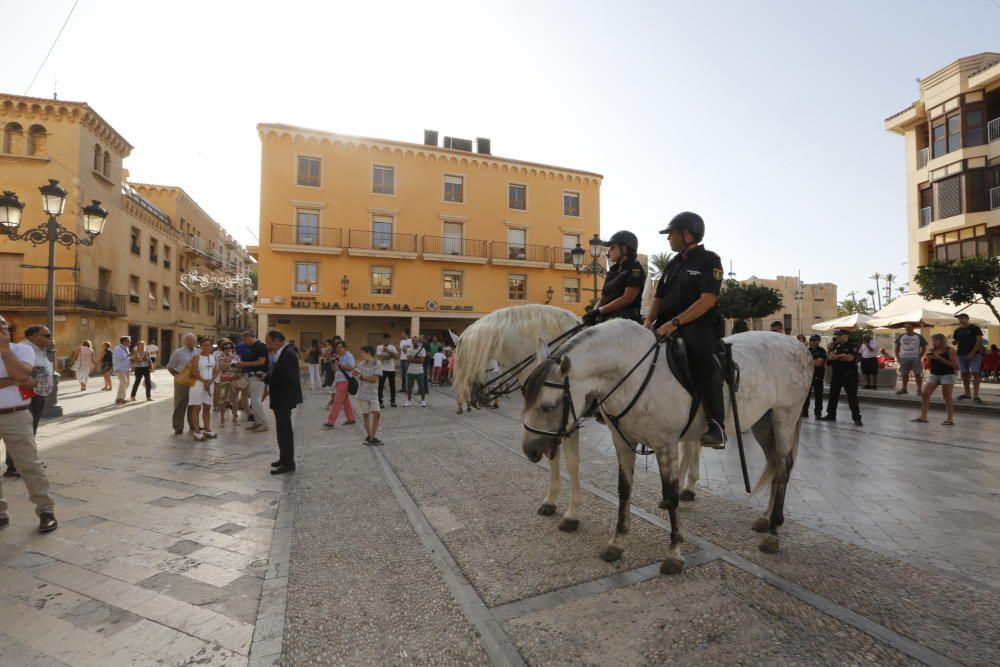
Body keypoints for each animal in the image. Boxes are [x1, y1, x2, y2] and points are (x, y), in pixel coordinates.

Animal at [454, 306, 704, 532]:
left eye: (474, 360)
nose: (475, 397)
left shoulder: (567, 421)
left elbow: (572, 464)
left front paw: (572, 514)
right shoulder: (549, 427)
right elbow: (553, 459)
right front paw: (550, 501)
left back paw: (687, 487)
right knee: (691, 444)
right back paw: (685, 486)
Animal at [520, 320, 816, 576]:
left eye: (548, 406)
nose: (529, 450)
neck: (632, 372)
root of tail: (798, 345)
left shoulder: (666, 445)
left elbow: (671, 495)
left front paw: (674, 553)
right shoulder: (622, 442)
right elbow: (624, 491)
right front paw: (617, 542)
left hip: (785, 417)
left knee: (782, 468)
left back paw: (773, 534)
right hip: (763, 422)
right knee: (775, 465)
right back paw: (766, 519)